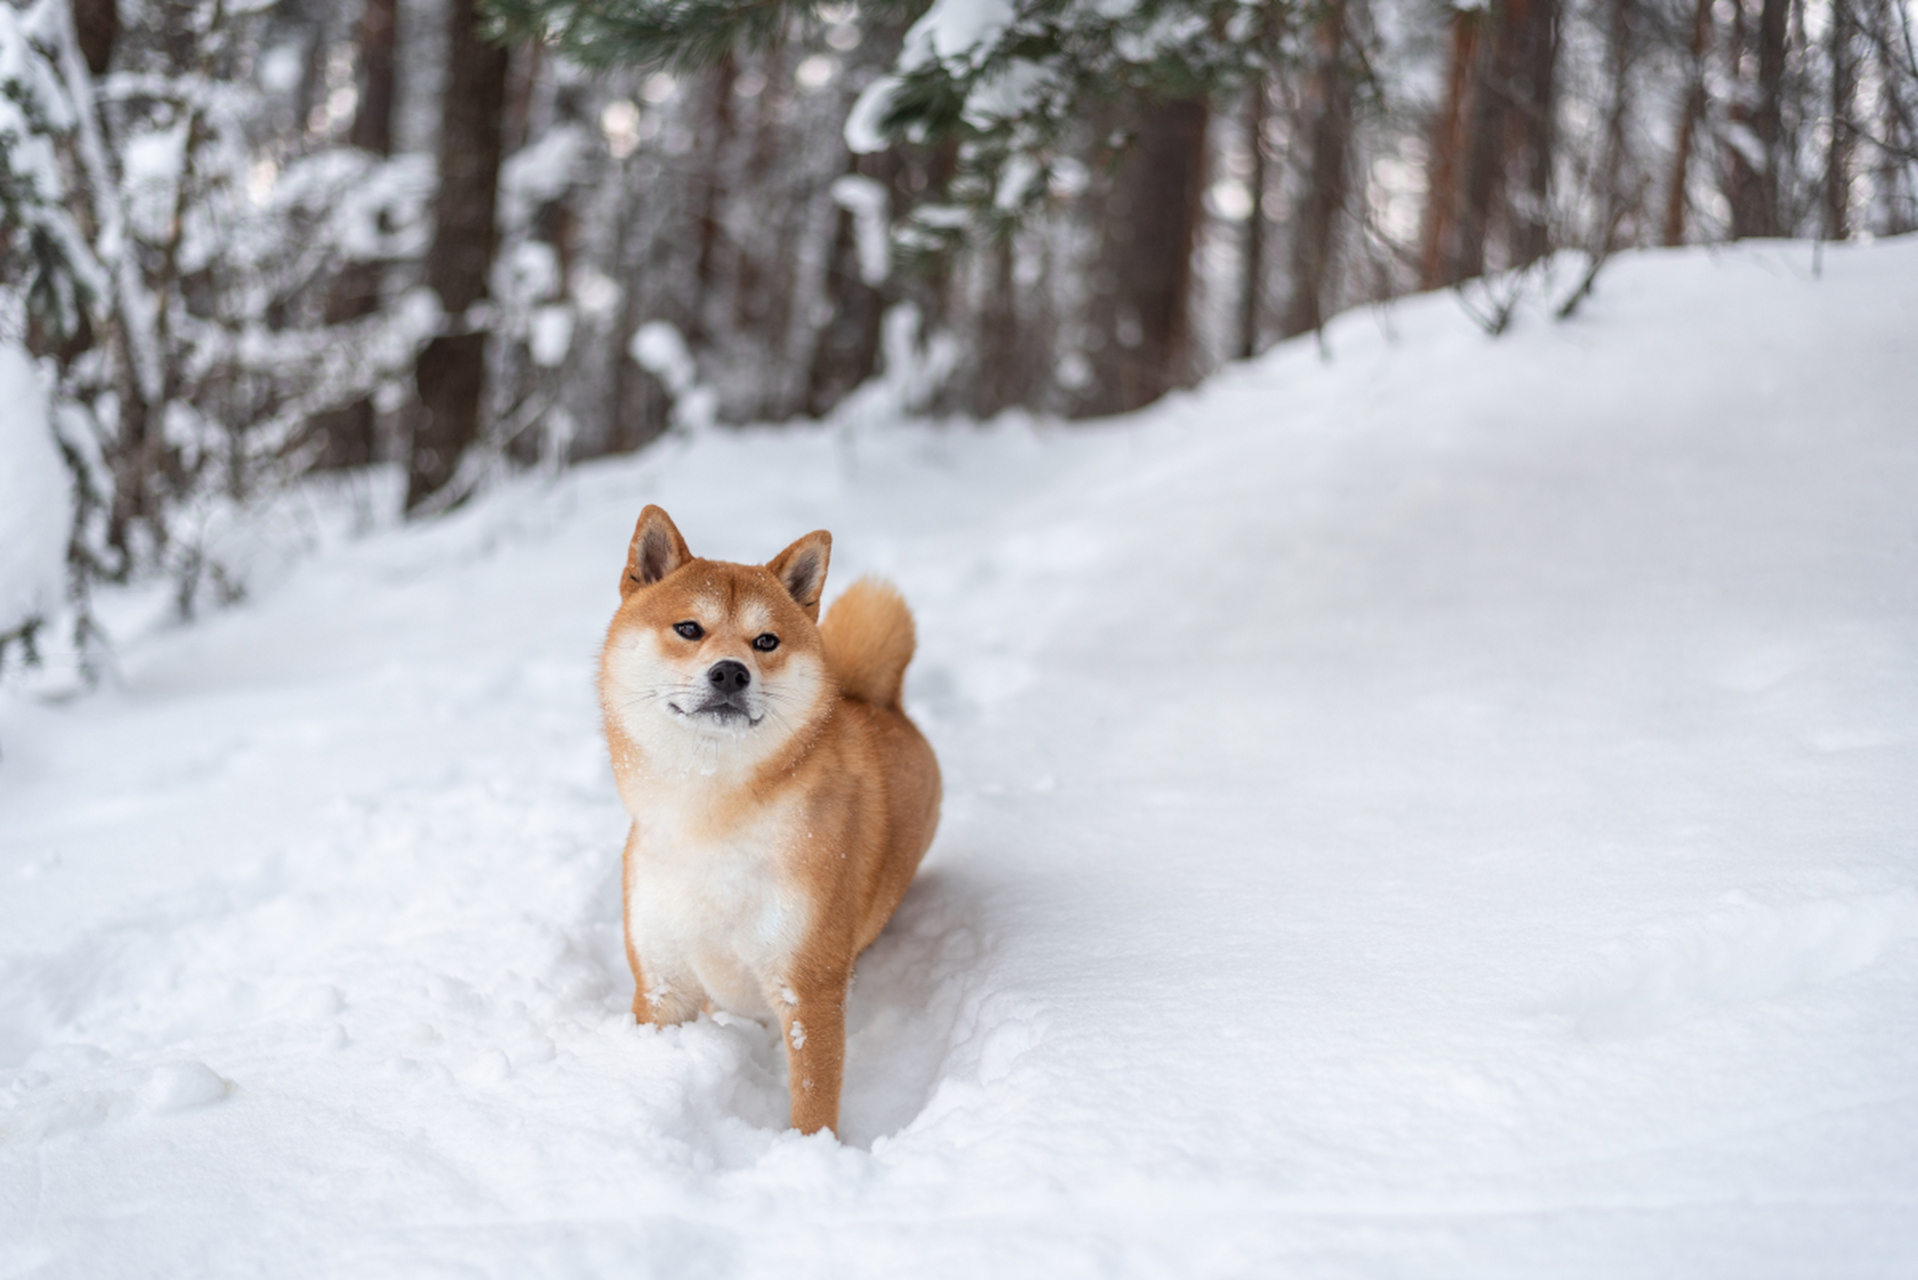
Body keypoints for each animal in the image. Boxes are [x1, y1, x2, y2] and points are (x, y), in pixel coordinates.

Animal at [590, 506, 935, 1136]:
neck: (711, 817)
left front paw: (808, 1152)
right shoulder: (662, 984)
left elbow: (813, 1104)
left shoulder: (808, 989)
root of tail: (877, 700)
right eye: (689, 629)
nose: (731, 672)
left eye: (766, 641)